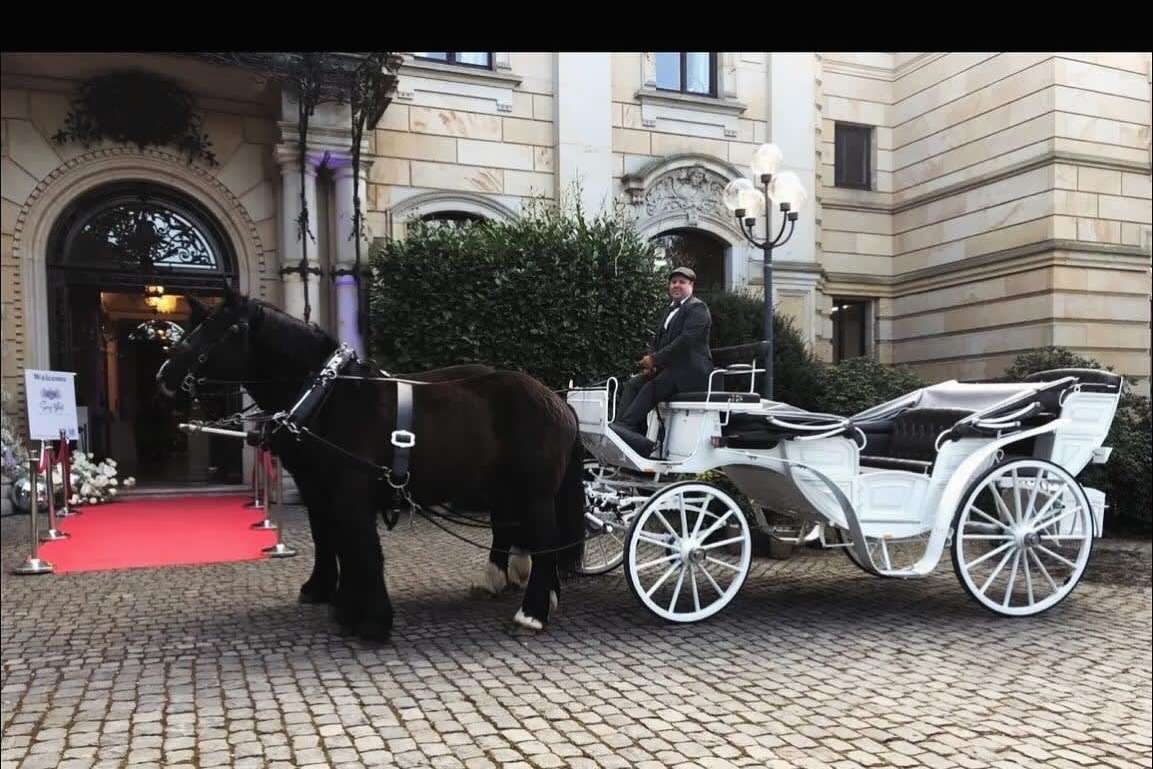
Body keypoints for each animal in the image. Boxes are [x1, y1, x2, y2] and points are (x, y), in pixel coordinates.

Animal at [155, 291, 585, 641]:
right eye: (196, 325)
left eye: (228, 328)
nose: (164, 376)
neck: (330, 395)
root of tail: (555, 400)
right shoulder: (318, 488)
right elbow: (334, 540)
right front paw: (338, 601)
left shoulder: (350, 489)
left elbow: (362, 547)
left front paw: (371, 619)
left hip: (535, 492)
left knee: (545, 540)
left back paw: (532, 612)